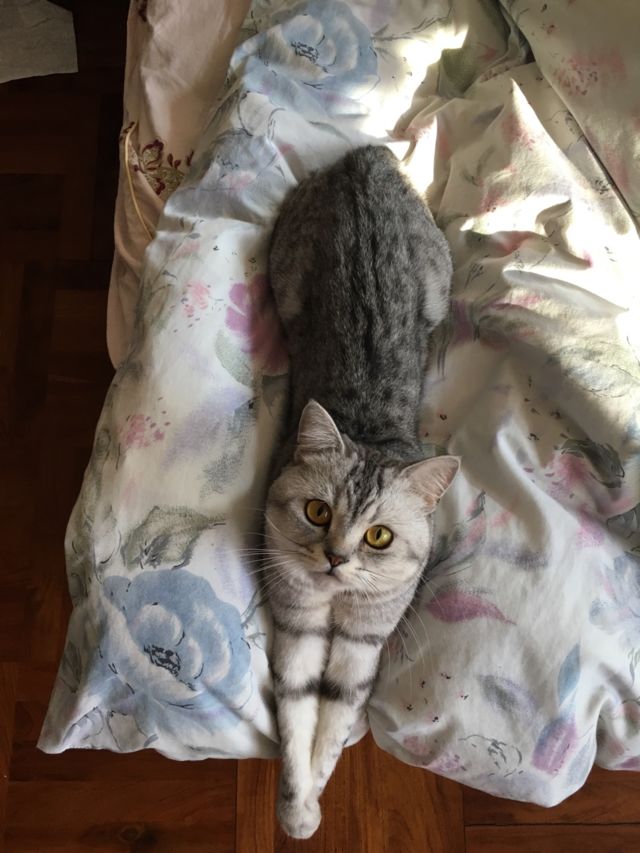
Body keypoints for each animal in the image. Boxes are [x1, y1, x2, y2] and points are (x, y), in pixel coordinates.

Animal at [264, 145, 459, 839]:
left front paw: (309, 803)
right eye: (316, 511)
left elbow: (332, 728)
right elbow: (296, 722)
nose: (335, 558)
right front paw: (296, 810)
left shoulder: (361, 647)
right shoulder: (294, 630)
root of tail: (365, 158)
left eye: (378, 536)